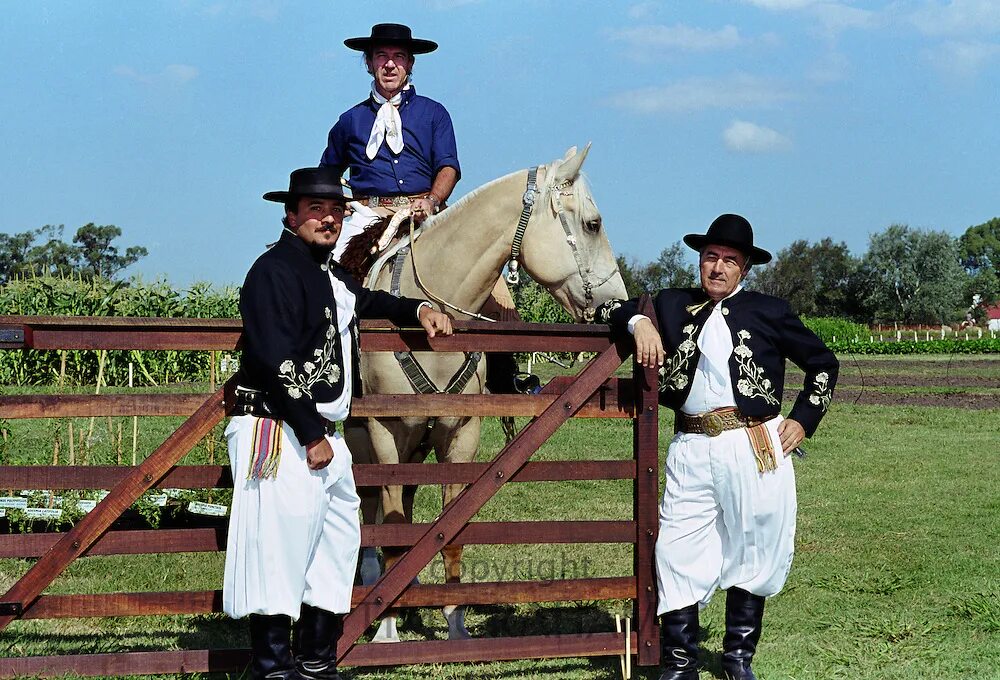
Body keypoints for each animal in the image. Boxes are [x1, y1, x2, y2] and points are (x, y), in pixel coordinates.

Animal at [344, 146, 624, 640]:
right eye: (593, 223)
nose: (620, 299)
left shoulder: (459, 434)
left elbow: (448, 534)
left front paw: (455, 626)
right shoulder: (386, 434)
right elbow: (390, 527)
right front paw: (386, 630)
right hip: (364, 442)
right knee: (370, 508)